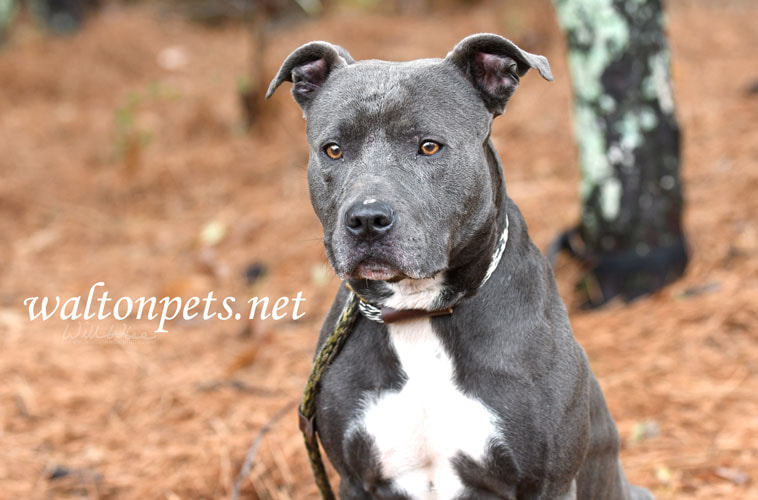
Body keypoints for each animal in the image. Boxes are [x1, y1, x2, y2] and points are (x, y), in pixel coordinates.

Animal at [268, 33, 660, 498]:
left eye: (429, 146)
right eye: (333, 150)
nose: (366, 219)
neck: (420, 311)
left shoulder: (547, 482)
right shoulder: (356, 480)